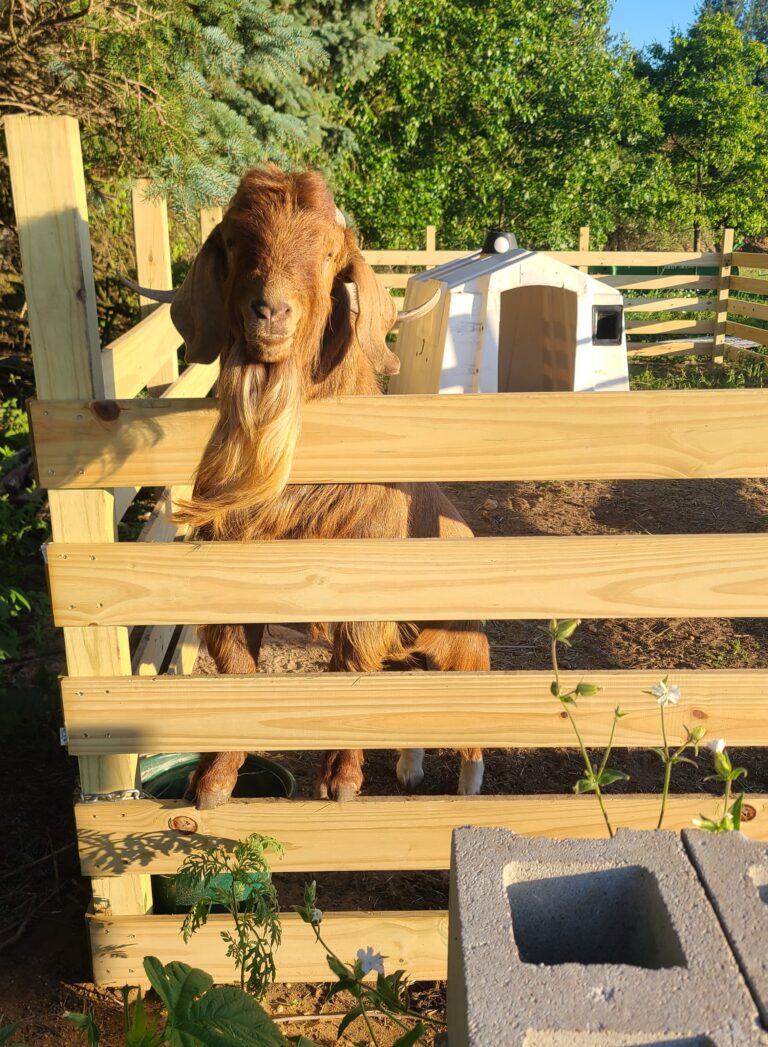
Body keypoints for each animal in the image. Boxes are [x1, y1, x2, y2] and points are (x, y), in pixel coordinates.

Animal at [133, 166, 489, 809]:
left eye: (328, 253)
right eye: (233, 242)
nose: (271, 311)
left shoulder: (362, 603)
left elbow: (347, 674)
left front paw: (342, 782)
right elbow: (241, 673)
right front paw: (212, 783)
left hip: (463, 646)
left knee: (471, 715)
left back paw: (469, 790)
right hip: (413, 654)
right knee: (413, 704)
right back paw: (409, 770)